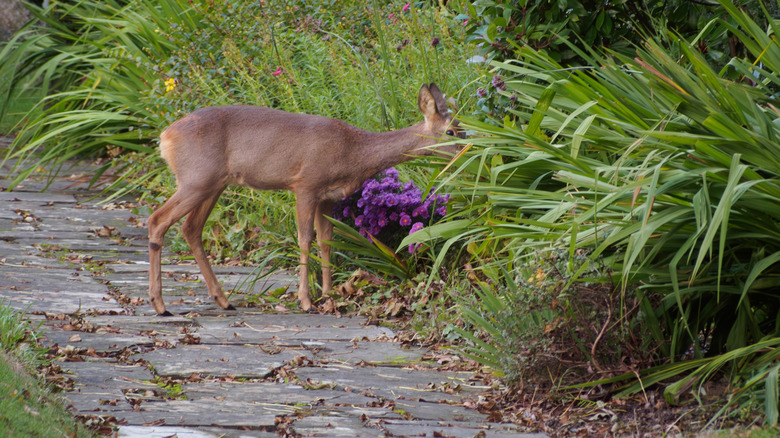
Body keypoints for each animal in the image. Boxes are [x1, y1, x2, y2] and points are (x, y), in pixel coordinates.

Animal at [147, 83, 463, 316]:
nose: (467, 151)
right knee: (157, 220)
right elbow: (304, 239)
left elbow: (326, 241)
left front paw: (329, 294)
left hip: (212, 184)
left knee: (190, 228)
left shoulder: (327, 197)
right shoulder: (305, 184)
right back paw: (161, 306)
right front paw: (306, 301)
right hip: (196, 179)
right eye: (450, 131)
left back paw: (223, 300)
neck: (353, 152)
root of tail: (165, 136)